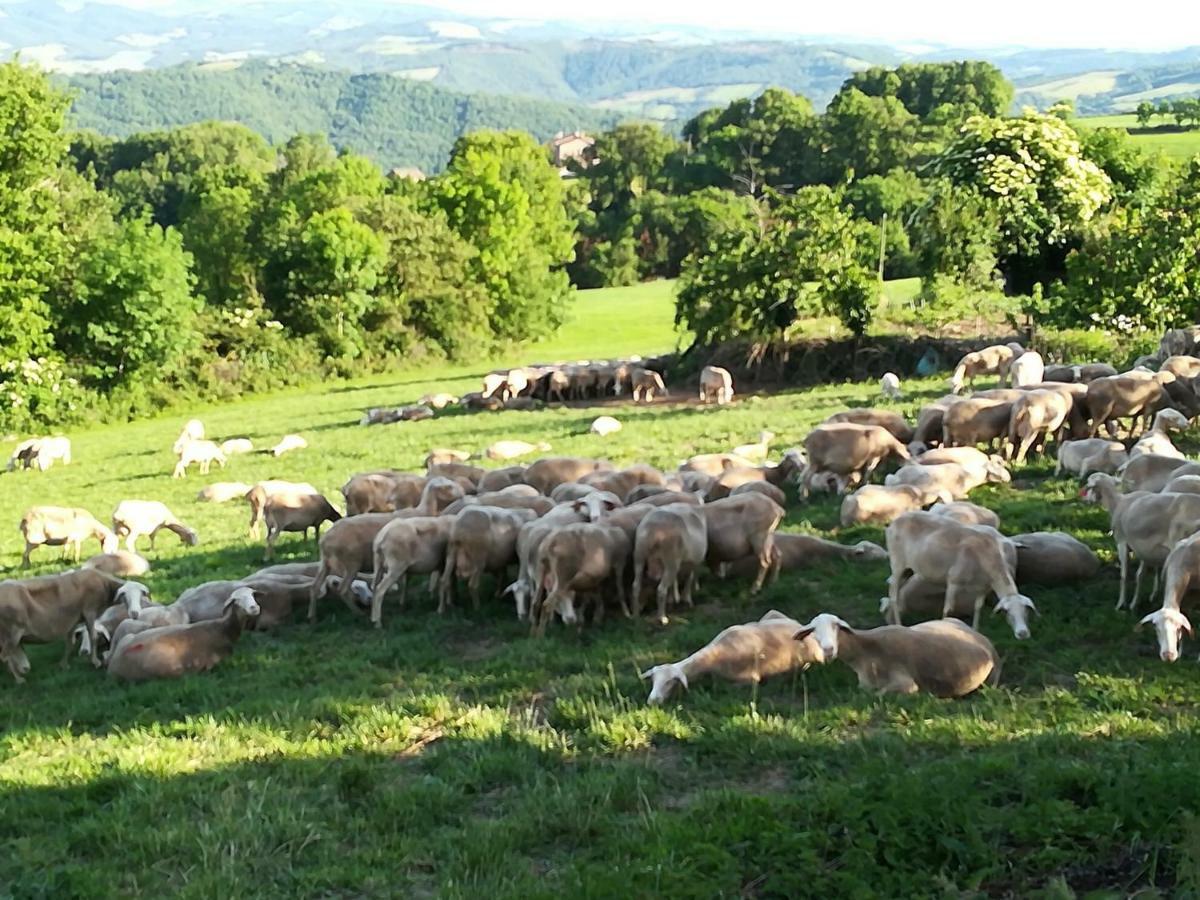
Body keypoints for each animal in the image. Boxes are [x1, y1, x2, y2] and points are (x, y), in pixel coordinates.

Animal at [638, 614, 825, 710]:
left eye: (670, 682)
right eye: (653, 681)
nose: (651, 702)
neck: (713, 656)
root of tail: (800, 626)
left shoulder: (750, 679)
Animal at [792, 619, 998, 700]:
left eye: (836, 626)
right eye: (813, 630)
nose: (828, 649)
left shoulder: (906, 683)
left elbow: (878, 694)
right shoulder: (864, 684)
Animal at [883, 511, 1032, 628]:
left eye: (1026, 612)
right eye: (1009, 613)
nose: (1022, 634)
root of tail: (895, 521)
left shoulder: (982, 588)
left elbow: (978, 609)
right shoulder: (953, 581)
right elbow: (948, 609)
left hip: (908, 567)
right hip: (897, 562)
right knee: (893, 593)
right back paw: (898, 624)